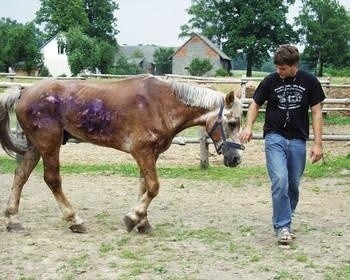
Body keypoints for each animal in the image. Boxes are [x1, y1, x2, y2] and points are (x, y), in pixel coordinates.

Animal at [0, 75, 245, 234]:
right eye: (232, 122)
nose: (236, 159)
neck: (161, 104)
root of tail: (23, 91)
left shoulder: (150, 155)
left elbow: (144, 186)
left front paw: (142, 223)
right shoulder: (142, 152)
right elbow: (154, 187)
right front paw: (132, 219)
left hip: (35, 146)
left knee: (20, 176)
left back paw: (13, 220)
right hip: (49, 144)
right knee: (52, 179)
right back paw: (75, 220)